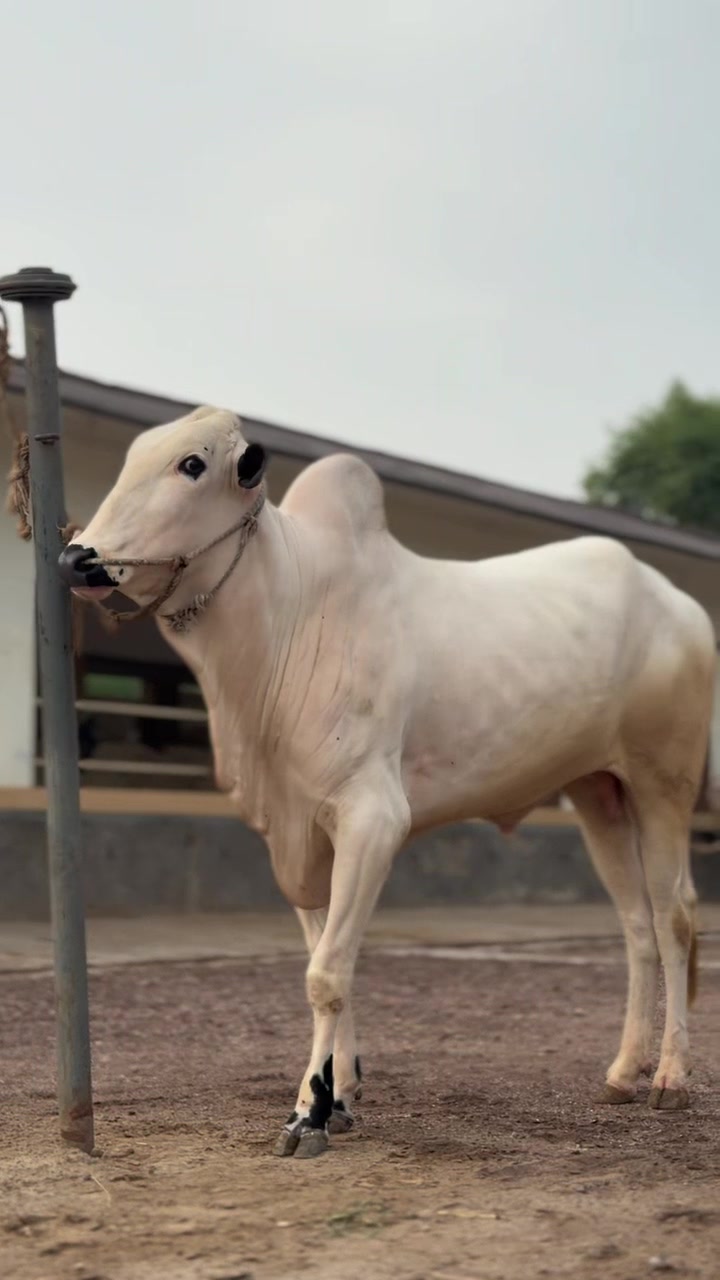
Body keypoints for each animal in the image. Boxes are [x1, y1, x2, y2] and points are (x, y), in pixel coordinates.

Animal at [59, 406, 716, 1159]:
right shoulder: (295, 830)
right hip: (596, 791)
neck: (290, 615)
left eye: (191, 464)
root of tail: (679, 603)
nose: (77, 558)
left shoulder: (372, 819)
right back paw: (622, 1071)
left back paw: (669, 1076)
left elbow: (326, 974)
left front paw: (306, 1114)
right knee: (635, 924)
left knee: (673, 915)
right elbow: (327, 957)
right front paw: (339, 1093)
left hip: (663, 783)